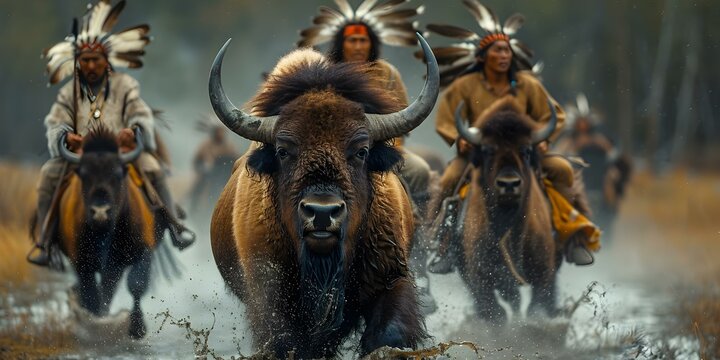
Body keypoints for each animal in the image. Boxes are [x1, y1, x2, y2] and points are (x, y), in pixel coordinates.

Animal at [56, 126, 159, 338]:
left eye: (118, 174)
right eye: (84, 174)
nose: (100, 212)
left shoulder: (142, 250)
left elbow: (136, 284)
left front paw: (138, 328)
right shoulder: (81, 262)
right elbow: (91, 295)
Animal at [205, 33, 436, 358]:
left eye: (361, 151)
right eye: (283, 151)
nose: (323, 213)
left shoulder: (391, 277)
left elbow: (389, 333)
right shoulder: (269, 297)